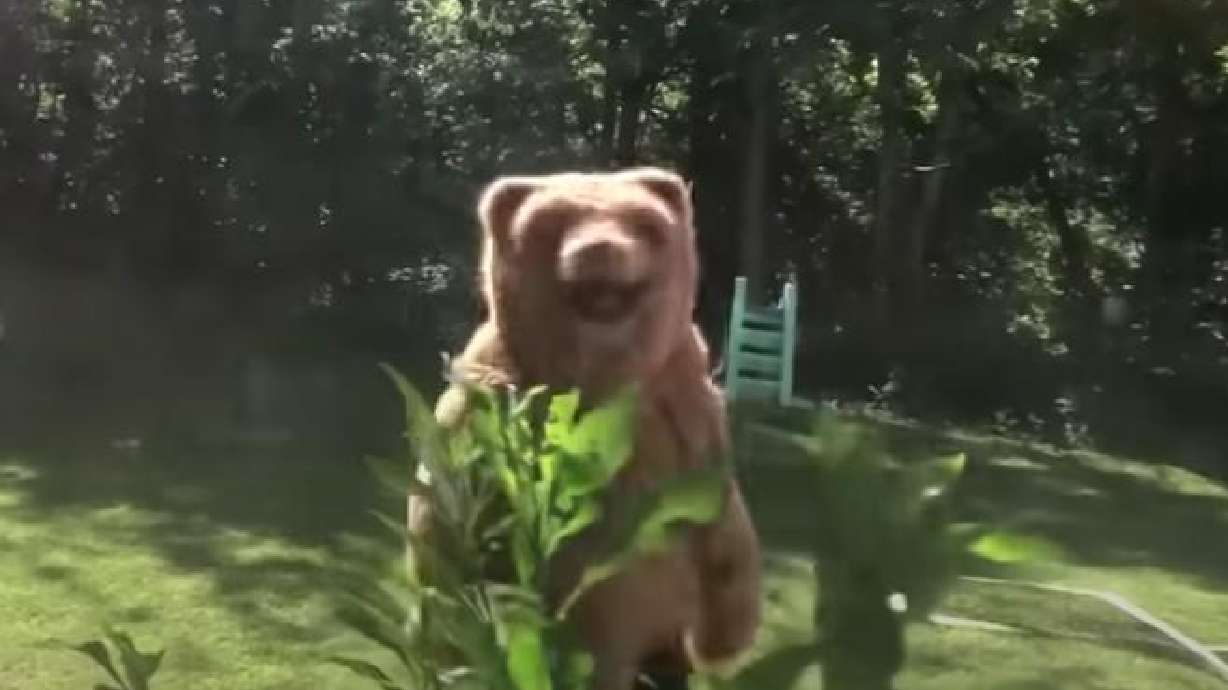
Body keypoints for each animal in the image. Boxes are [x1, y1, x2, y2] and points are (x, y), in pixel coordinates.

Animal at [409, 167, 761, 690]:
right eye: (553, 224)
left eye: (641, 222)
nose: (600, 248)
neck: (605, 379)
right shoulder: (487, 407)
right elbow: (446, 528)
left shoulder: (685, 404)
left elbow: (723, 520)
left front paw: (723, 643)